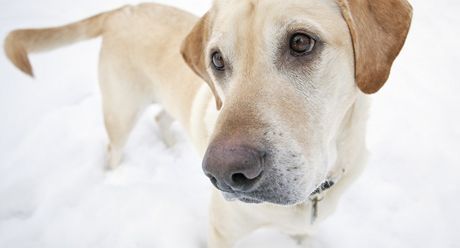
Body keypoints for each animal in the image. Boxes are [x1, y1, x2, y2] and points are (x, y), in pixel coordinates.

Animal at [3, 0, 414, 246]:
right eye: (216, 60)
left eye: (301, 42)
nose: (223, 173)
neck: (314, 192)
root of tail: (122, 9)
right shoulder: (222, 232)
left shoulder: (305, 233)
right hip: (121, 112)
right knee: (113, 148)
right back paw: (116, 177)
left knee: (161, 117)